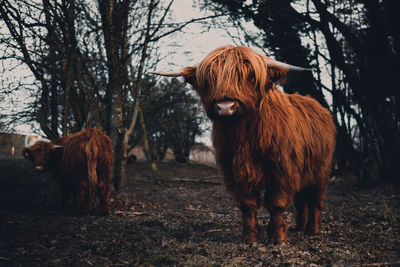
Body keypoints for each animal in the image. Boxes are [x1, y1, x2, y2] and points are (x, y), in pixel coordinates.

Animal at [152, 45, 336, 244]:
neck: (244, 136)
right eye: (210, 78)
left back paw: (312, 230)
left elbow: (276, 204)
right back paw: (299, 227)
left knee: (315, 199)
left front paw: (277, 238)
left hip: (320, 171)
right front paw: (250, 238)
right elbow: (248, 206)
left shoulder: (282, 170)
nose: (225, 107)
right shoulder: (237, 171)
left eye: (250, 76)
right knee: (301, 200)